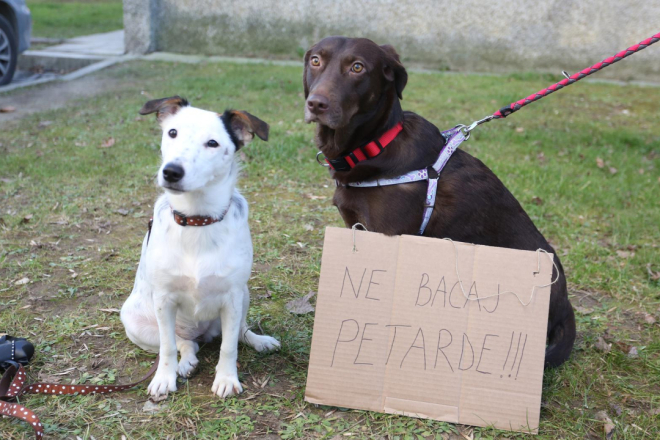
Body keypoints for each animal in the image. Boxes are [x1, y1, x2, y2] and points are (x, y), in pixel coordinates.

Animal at [121, 96, 278, 398]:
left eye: (213, 143)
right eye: (172, 132)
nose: (171, 171)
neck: (196, 220)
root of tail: (202, 333)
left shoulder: (232, 297)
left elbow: (229, 346)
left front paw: (227, 378)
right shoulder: (163, 300)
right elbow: (168, 347)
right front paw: (164, 378)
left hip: (244, 295)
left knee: (240, 332)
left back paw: (259, 341)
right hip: (135, 322)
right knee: (184, 343)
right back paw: (186, 362)